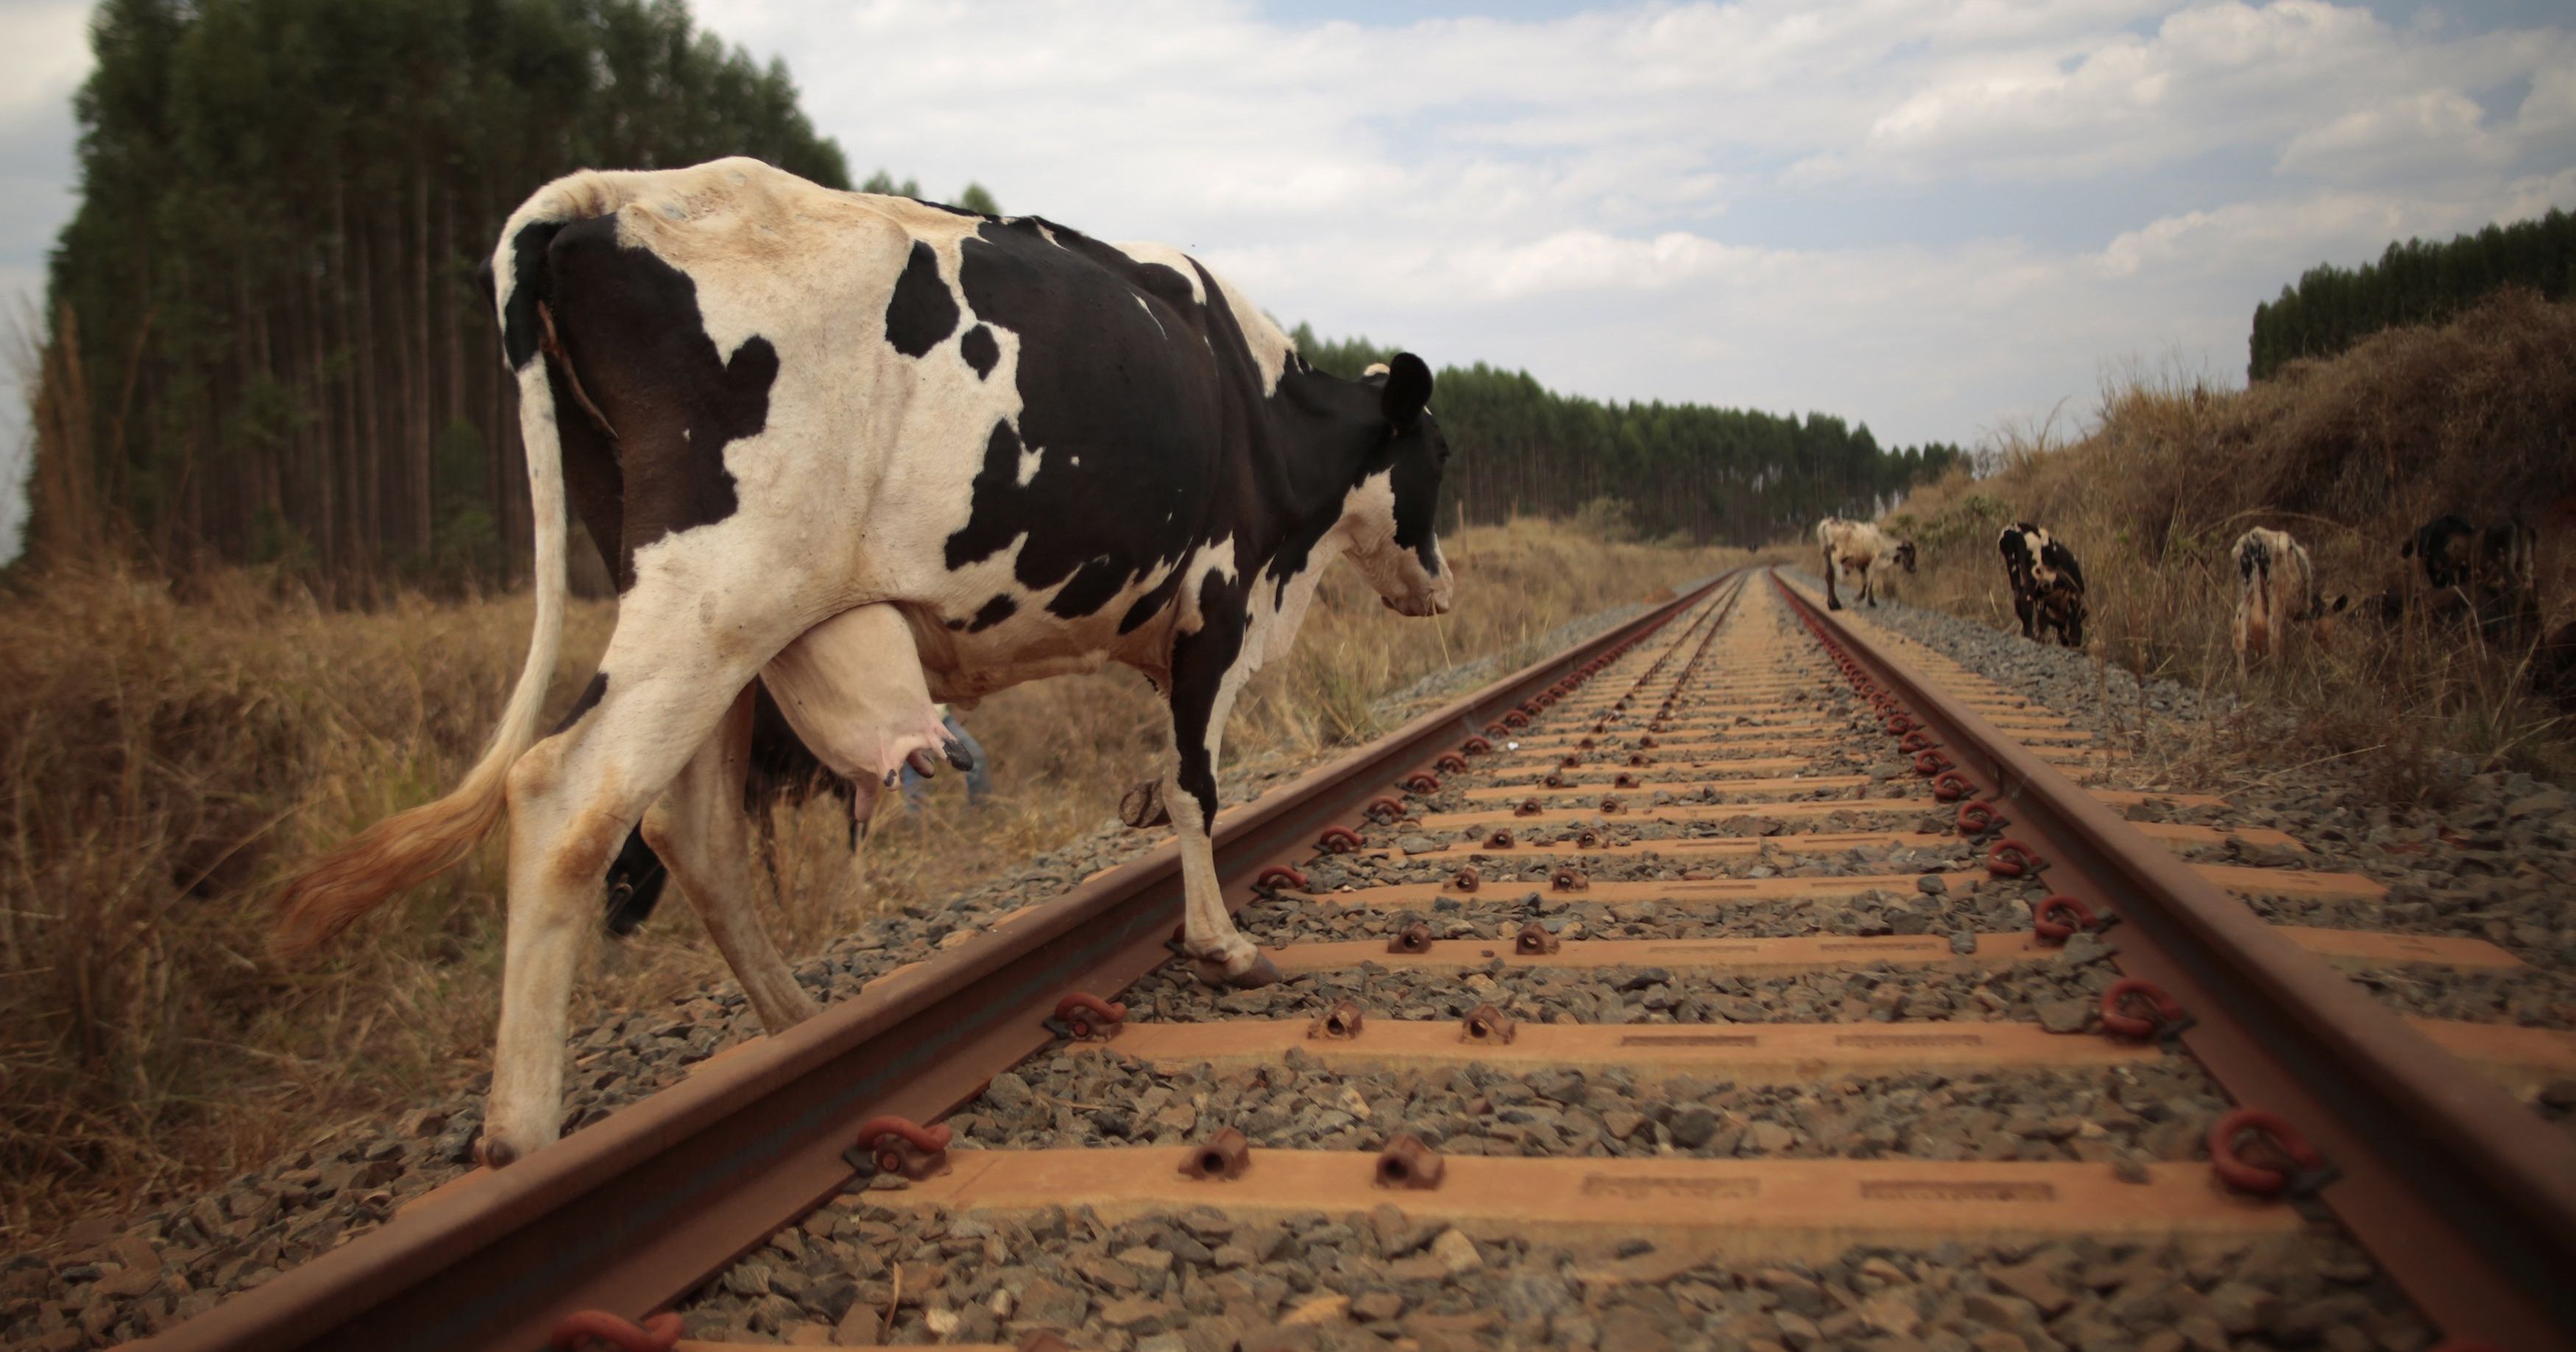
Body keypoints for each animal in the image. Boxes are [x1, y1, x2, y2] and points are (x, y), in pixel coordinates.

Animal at [284, 158, 1463, 1164]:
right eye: (1440, 453)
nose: (1443, 581)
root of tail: (612, 194)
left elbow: (1168, 782)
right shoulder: (1216, 599)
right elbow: (1194, 787)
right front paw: (1224, 945)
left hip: (707, 605)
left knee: (690, 827)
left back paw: (804, 1036)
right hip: (723, 587)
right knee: (569, 796)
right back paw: (522, 1140)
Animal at [1814, 514, 1917, 607]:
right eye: (1910, 553)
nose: (1913, 569)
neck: (1882, 542)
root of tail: (1825, 524)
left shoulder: (1862, 564)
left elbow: (1865, 582)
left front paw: (1860, 597)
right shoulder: (1873, 563)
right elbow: (1870, 582)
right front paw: (1871, 601)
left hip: (1826, 556)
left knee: (1828, 577)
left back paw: (1832, 602)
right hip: (1835, 556)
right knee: (1831, 576)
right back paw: (1834, 604)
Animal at [1999, 520, 2081, 646]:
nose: (2077, 642)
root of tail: (2014, 530)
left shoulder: (2042, 596)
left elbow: (2043, 618)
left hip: (2012, 564)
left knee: (2018, 598)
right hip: (2033, 574)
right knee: (2026, 600)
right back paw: (2030, 635)